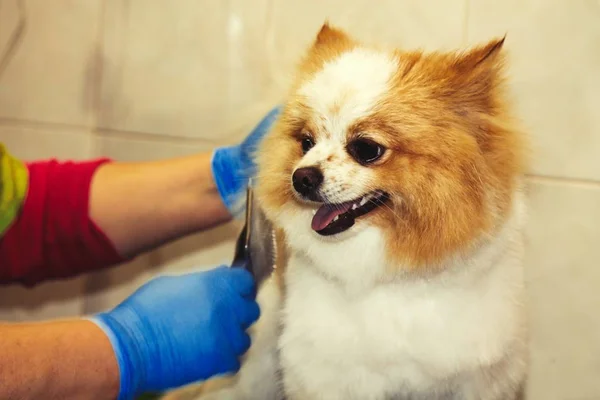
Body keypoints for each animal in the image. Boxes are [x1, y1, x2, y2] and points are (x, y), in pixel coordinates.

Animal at [165, 22, 528, 400]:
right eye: (306, 142)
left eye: (366, 148)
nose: (301, 177)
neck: (388, 274)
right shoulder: (330, 377)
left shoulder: (479, 379)